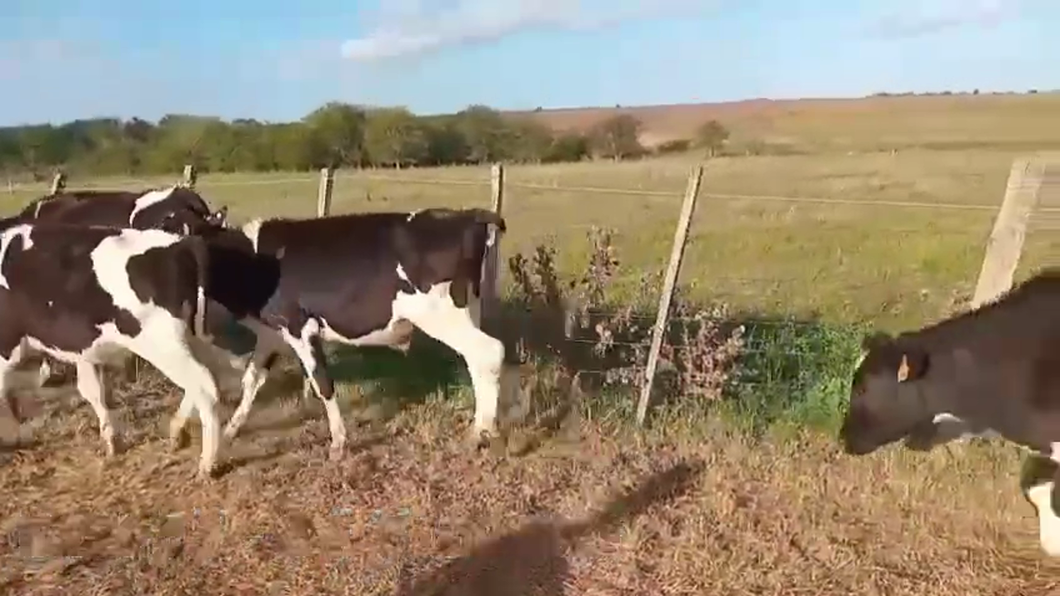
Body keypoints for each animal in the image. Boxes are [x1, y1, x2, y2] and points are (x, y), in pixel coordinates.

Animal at [0, 222, 228, 479]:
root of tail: (181, 243)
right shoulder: (83, 349)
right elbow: (92, 390)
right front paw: (111, 441)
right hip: (191, 338)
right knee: (207, 379)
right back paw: (177, 431)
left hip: (163, 344)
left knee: (204, 386)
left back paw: (206, 464)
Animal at [186, 207, 509, 462]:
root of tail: (469, 215)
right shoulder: (272, 334)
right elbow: (252, 379)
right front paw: (231, 429)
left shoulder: (299, 327)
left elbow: (323, 383)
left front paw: (339, 442)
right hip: (467, 312)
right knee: (477, 362)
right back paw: (481, 429)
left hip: (440, 315)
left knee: (489, 352)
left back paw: (481, 432)